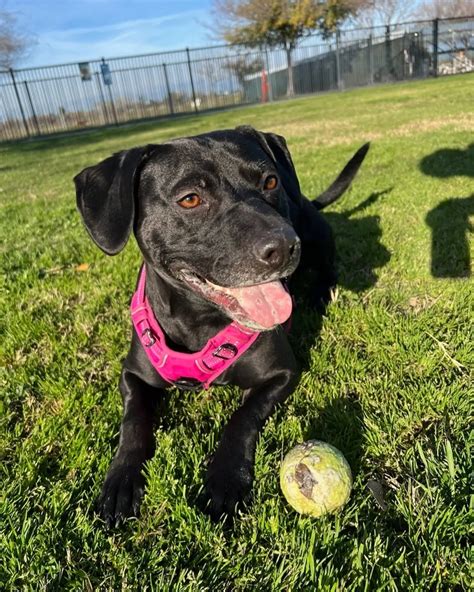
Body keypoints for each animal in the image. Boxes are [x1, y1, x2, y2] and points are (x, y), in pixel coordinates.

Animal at [75, 127, 370, 524]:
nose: (284, 246)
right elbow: (133, 420)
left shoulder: (282, 373)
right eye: (190, 199)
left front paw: (226, 477)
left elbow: (242, 418)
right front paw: (121, 478)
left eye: (270, 181)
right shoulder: (132, 375)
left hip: (318, 238)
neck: (199, 321)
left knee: (328, 269)